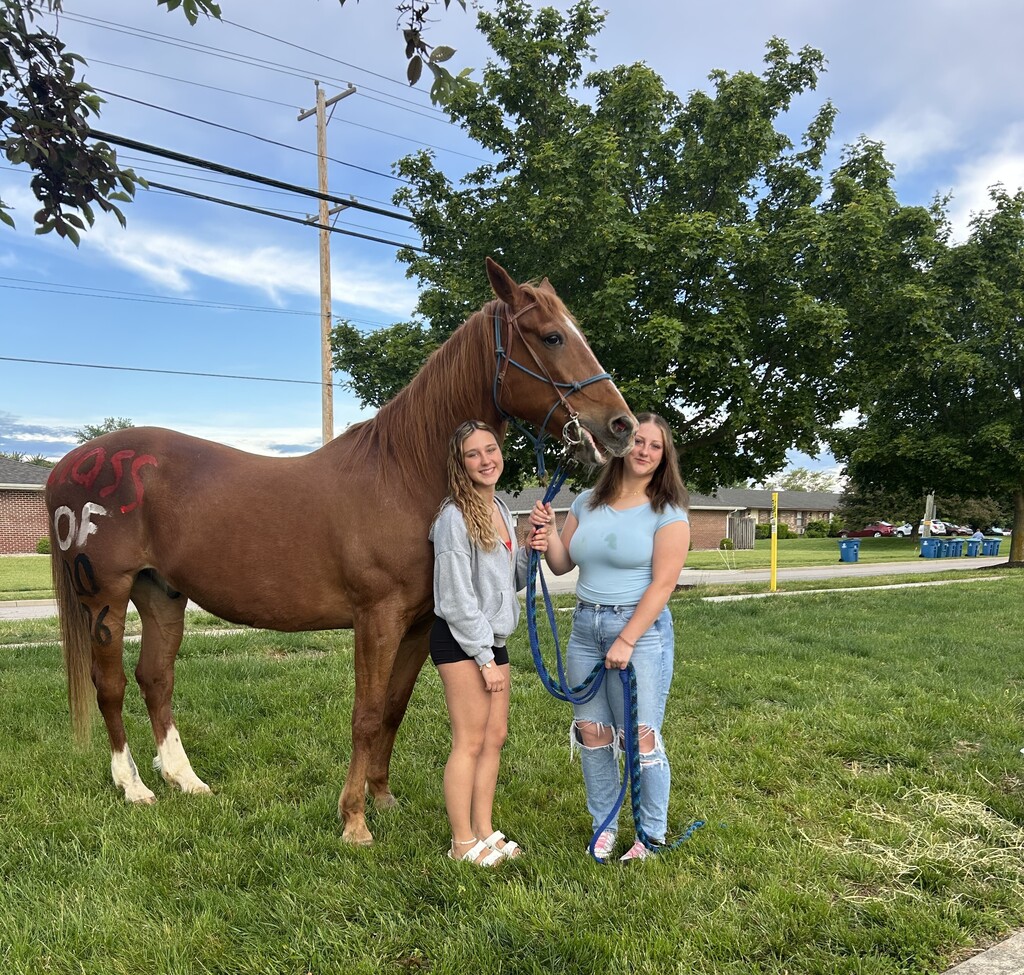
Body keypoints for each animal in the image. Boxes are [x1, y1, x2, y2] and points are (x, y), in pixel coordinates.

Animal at [45, 257, 636, 844]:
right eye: (552, 336)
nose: (622, 426)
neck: (403, 475)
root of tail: (70, 464)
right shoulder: (377, 618)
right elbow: (367, 714)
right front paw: (354, 820)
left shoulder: (420, 624)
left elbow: (393, 710)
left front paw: (383, 798)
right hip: (106, 598)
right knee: (111, 685)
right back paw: (133, 786)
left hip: (161, 594)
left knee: (156, 679)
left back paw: (184, 780)